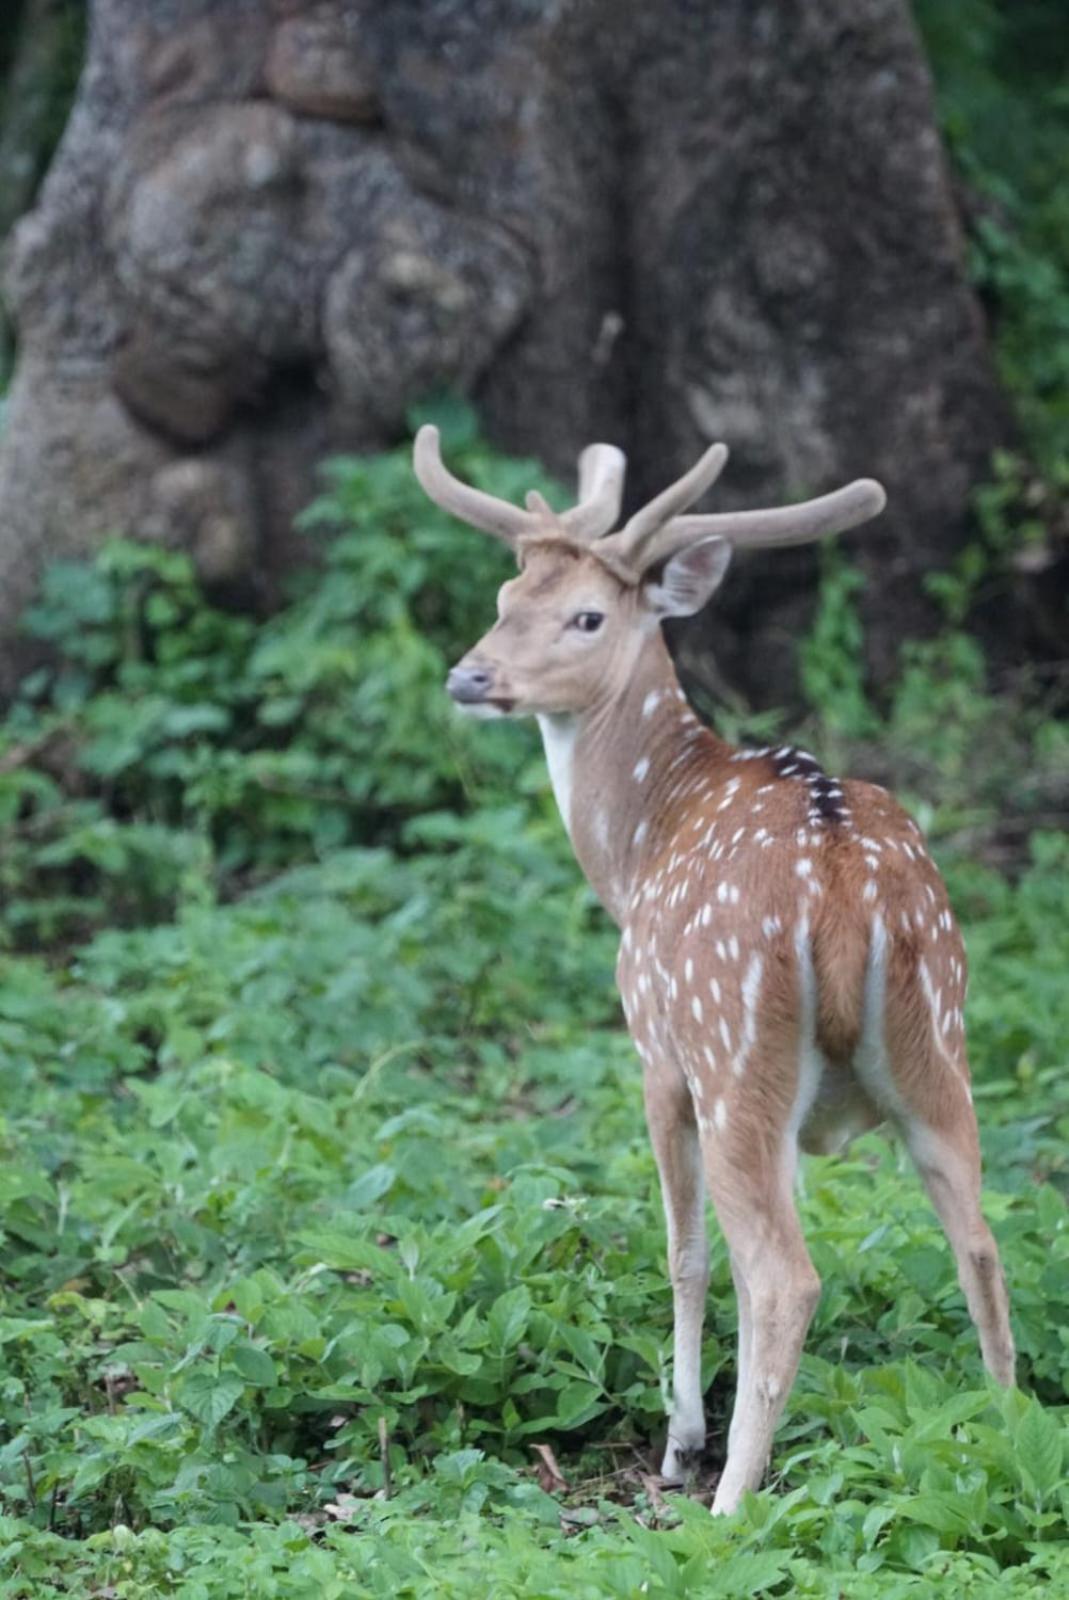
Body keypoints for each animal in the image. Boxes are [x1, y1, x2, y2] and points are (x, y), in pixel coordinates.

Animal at [412, 422, 1017, 1510]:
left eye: (586, 614)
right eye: (505, 596)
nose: (470, 677)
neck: (638, 845)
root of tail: (842, 891)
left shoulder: (653, 1049)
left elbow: (686, 1252)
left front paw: (680, 1438)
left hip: (734, 1047)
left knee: (784, 1274)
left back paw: (729, 1496)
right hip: (935, 1039)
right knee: (980, 1240)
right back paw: (1003, 1427)